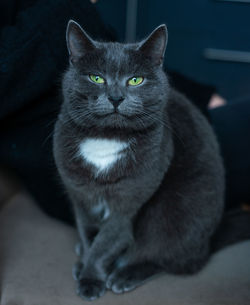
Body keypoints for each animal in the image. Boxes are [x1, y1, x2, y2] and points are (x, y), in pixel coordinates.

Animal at [52, 20, 225, 300]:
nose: (115, 97)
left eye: (135, 80)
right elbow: (89, 234)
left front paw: (91, 280)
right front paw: (85, 265)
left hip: (174, 215)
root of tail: (209, 242)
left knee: (172, 258)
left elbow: (107, 240)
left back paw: (125, 275)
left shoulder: (129, 200)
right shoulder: (80, 195)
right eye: (96, 77)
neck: (107, 139)